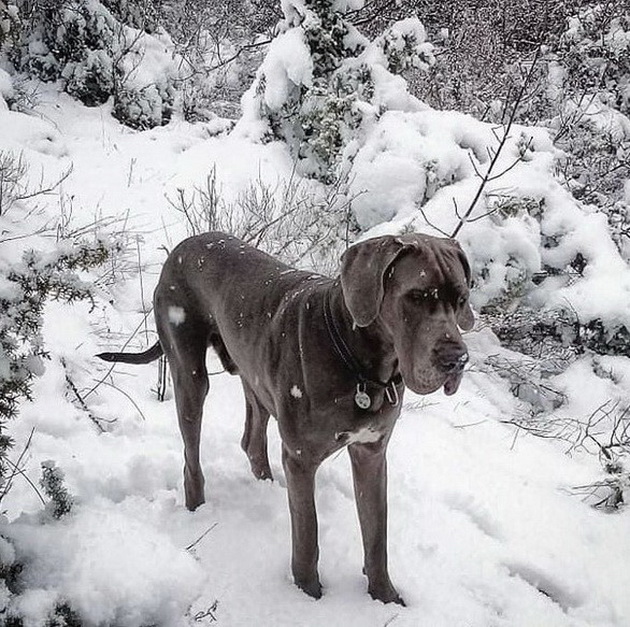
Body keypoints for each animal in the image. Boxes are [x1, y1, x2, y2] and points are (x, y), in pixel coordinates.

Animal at [99, 233, 474, 604]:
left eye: (461, 298)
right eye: (416, 296)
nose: (457, 359)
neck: (359, 363)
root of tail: (182, 246)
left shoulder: (371, 453)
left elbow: (375, 534)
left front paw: (384, 596)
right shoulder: (301, 458)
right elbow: (307, 533)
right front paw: (308, 594)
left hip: (255, 377)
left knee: (251, 440)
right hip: (190, 374)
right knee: (192, 459)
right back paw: (197, 510)